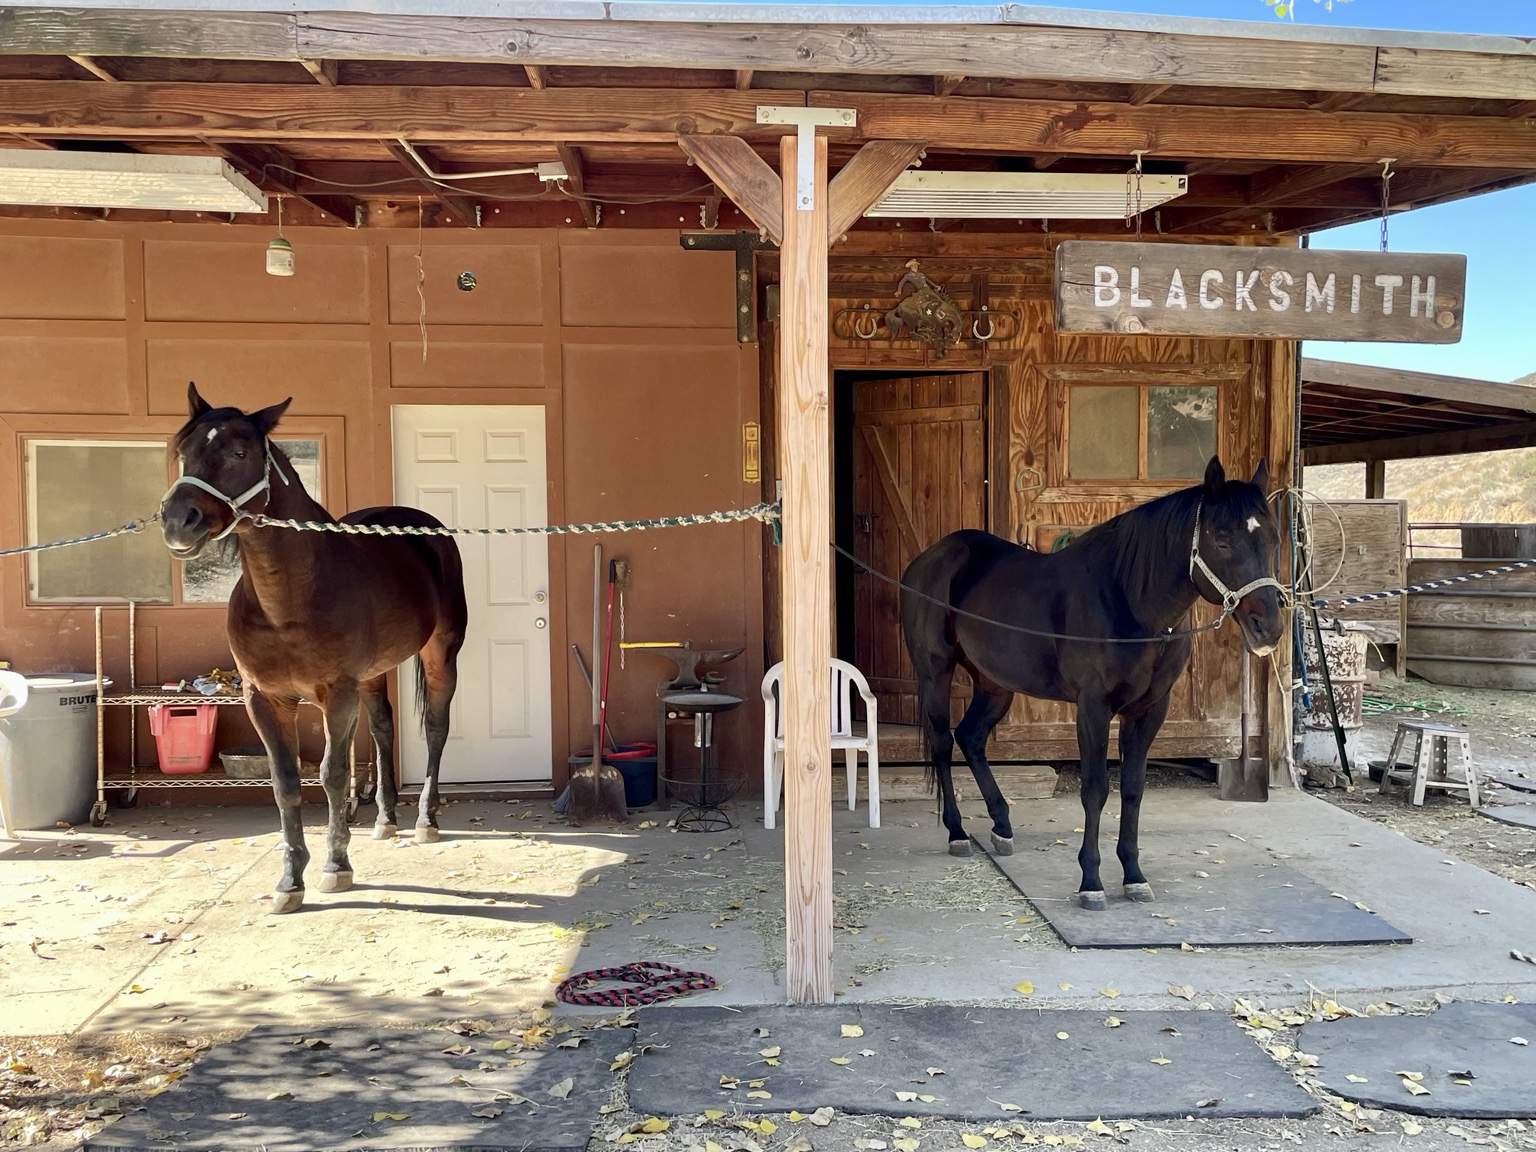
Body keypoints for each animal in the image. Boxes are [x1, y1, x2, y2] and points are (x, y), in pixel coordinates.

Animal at [159, 384, 468, 914]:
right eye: (184, 451)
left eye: (240, 453)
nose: (179, 520)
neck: (287, 598)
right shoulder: (264, 699)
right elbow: (285, 783)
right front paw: (289, 880)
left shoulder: (336, 694)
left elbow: (330, 775)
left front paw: (335, 867)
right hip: (373, 674)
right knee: (383, 728)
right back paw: (385, 820)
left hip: (439, 655)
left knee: (435, 728)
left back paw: (426, 821)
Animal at [900, 457, 1285, 910]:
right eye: (1221, 540)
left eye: (1274, 539)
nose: (1268, 628)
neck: (1128, 602)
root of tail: (930, 558)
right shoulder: (1093, 707)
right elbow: (1096, 789)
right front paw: (1091, 882)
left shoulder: (1150, 709)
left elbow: (1133, 788)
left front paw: (1134, 876)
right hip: (935, 672)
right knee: (944, 741)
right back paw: (958, 833)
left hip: (994, 683)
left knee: (971, 736)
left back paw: (1001, 827)